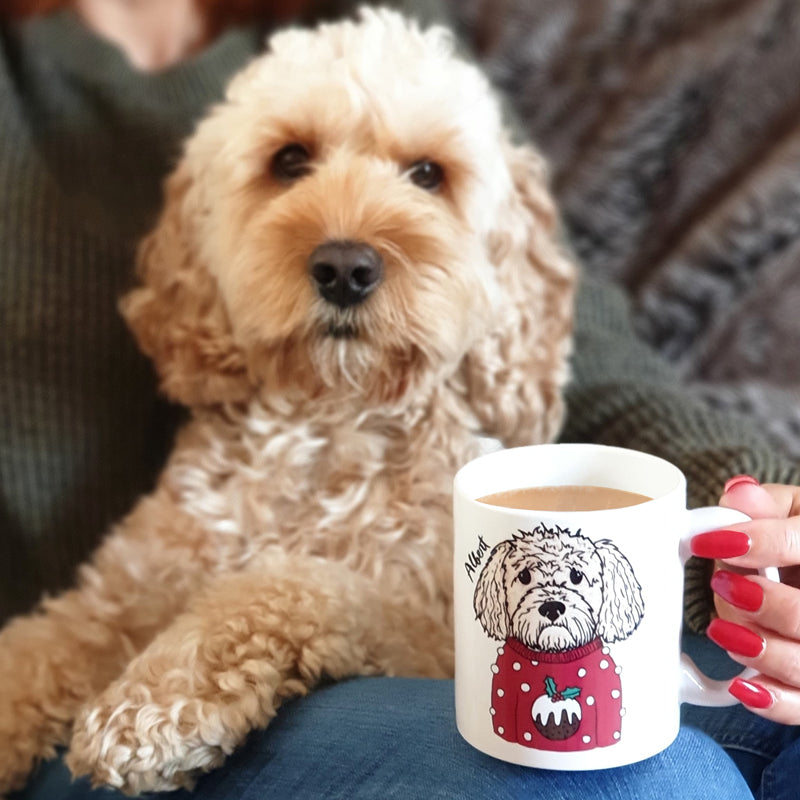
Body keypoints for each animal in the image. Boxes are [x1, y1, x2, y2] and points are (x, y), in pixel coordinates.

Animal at [0, 6, 576, 792]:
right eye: (290, 160)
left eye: (428, 174)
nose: (344, 267)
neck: (324, 423)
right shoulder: (116, 598)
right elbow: (36, 647)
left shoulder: (426, 631)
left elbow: (292, 583)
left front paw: (156, 700)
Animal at [476, 524, 644, 752]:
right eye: (524, 576)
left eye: (577, 575)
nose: (552, 607)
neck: (554, 652)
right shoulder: (503, 703)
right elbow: (504, 727)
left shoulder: (608, 705)